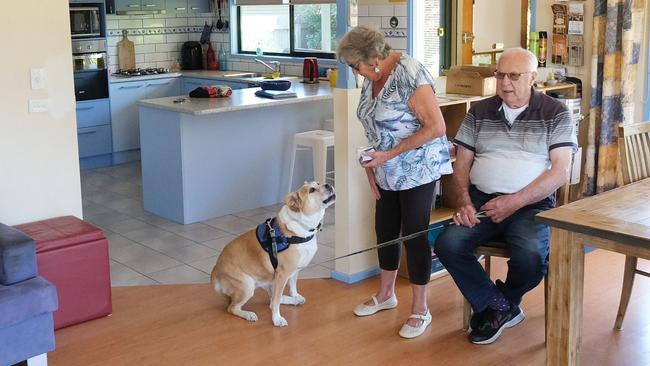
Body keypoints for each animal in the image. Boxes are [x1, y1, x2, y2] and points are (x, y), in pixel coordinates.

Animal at [211, 182, 334, 328]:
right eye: (312, 190)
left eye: (319, 183)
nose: (329, 185)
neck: (301, 227)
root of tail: (215, 272)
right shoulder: (283, 274)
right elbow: (275, 303)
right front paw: (277, 319)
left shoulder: (294, 270)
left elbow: (292, 286)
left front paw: (294, 296)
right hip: (247, 286)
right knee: (233, 307)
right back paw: (248, 314)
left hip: (268, 281)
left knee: (272, 298)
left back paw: (292, 300)